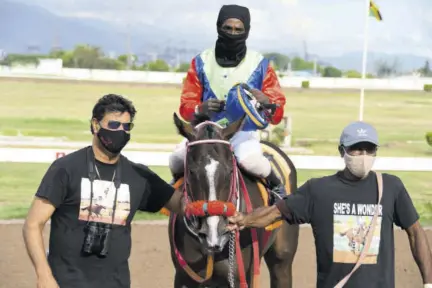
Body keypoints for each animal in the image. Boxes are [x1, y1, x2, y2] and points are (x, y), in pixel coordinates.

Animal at [167, 113, 298, 288]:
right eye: (191, 171)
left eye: (230, 170)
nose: (213, 232)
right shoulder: (184, 278)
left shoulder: (241, 277)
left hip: (282, 258)